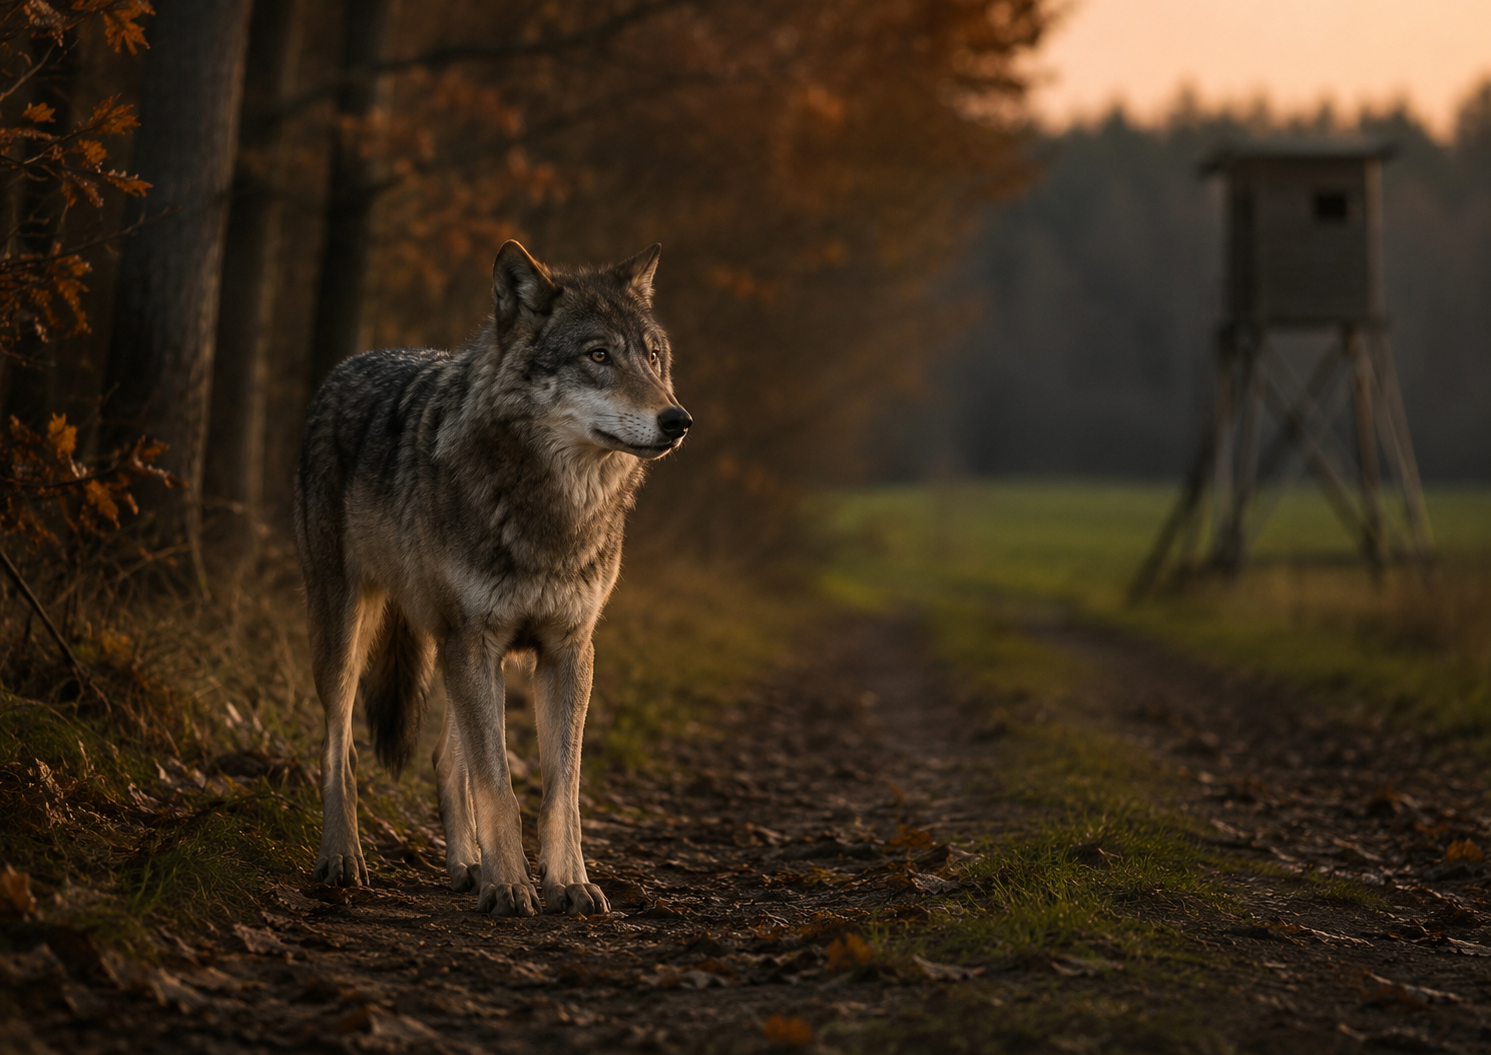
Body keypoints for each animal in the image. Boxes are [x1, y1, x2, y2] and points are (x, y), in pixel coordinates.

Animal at [294, 241, 690, 917]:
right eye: (599, 356)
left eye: (654, 357)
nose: (678, 419)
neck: (555, 511)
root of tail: (351, 363)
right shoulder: (475, 640)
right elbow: (499, 783)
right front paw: (511, 886)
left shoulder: (567, 649)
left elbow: (560, 789)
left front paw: (568, 883)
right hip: (354, 634)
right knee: (339, 750)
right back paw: (343, 858)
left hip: (460, 655)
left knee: (444, 759)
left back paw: (466, 865)